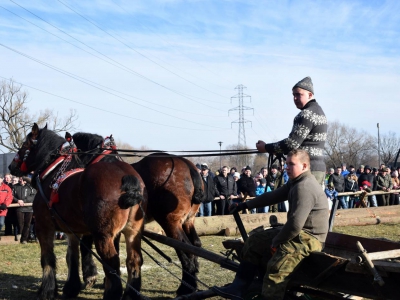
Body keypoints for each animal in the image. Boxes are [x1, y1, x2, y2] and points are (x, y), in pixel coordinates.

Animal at [7, 123, 148, 298]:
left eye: (25, 145)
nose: (11, 166)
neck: (53, 173)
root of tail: (127, 177)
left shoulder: (43, 226)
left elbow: (48, 258)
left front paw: (47, 290)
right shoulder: (73, 230)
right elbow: (72, 256)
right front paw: (71, 287)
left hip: (103, 235)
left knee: (112, 263)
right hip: (133, 232)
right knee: (134, 261)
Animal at [70, 133, 206, 296]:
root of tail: (188, 165)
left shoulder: (97, 225)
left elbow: (85, 246)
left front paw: (90, 275)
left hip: (170, 222)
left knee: (186, 249)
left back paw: (186, 287)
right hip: (188, 220)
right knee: (195, 245)